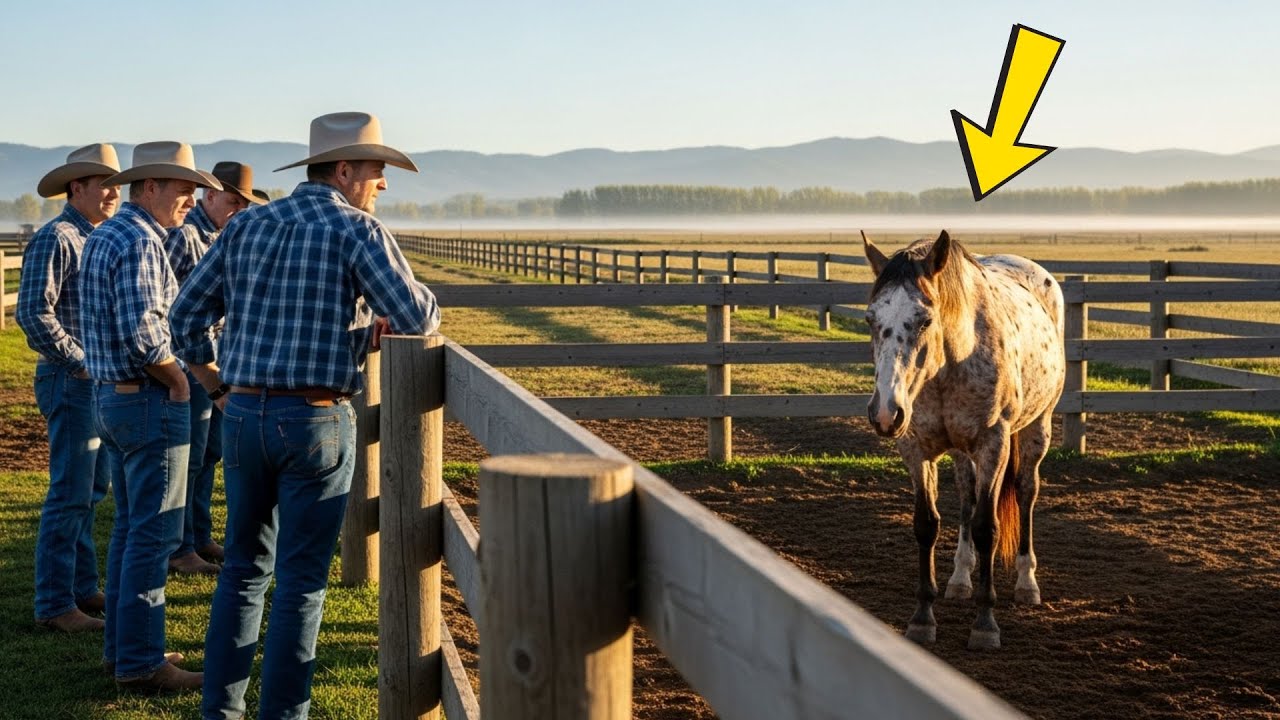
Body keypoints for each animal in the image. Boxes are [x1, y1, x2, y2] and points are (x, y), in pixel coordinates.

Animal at [861, 229, 1065, 650]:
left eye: (924, 319)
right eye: (871, 318)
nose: (885, 412)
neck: (949, 363)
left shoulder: (993, 445)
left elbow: (987, 528)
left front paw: (986, 625)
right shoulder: (915, 448)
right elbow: (927, 524)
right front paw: (923, 618)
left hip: (1036, 429)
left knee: (1025, 492)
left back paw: (1027, 583)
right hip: (960, 454)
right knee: (968, 497)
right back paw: (959, 579)